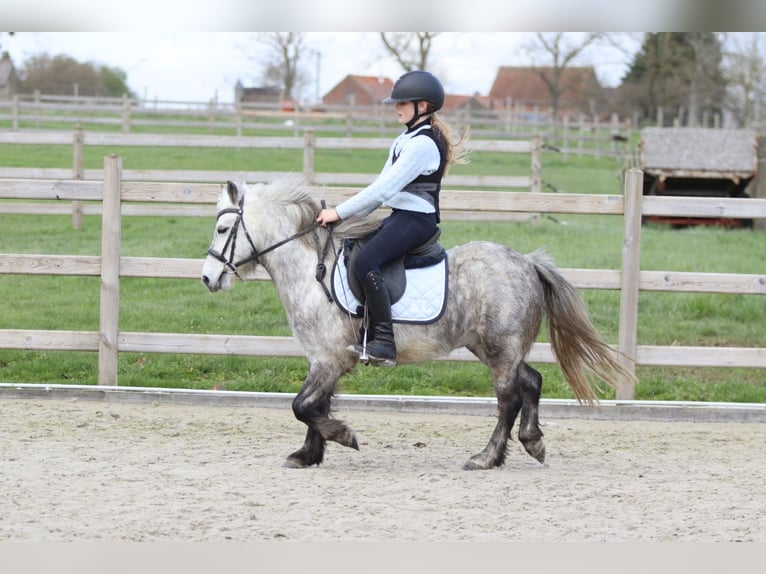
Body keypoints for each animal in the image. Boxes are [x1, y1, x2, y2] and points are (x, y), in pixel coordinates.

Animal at [201, 176, 635, 470]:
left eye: (222, 229)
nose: (207, 278)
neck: (312, 272)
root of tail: (527, 262)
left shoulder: (329, 359)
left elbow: (303, 406)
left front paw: (343, 436)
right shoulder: (322, 359)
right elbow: (313, 405)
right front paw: (308, 454)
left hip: (500, 349)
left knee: (508, 398)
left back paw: (486, 457)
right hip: (493, 347)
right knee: (531, 382)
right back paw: (532, 441)